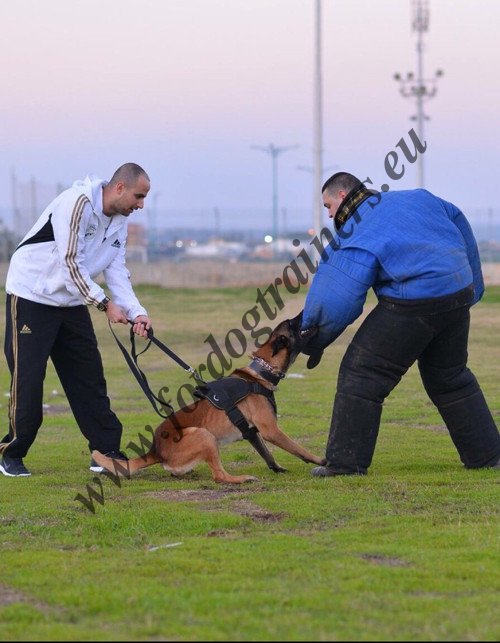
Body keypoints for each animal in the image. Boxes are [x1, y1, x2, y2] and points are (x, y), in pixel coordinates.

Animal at [91, 312, 324, 484]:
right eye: (293, 324)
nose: (307, 313)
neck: (260, 374)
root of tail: (155, 451)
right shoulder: (271, 430)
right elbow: (299, 448)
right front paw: (322, 461)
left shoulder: (252, 432)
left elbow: (267, 454)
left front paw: (277, 468)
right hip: (204, 435)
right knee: (219, 476)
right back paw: (242, 478)